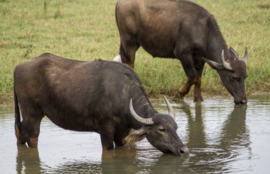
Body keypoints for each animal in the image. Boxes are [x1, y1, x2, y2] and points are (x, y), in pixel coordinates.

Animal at [13, 53, 189, 156]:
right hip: (32, 113)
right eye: (161, 129)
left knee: (20, 132)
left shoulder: (122, 132)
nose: (183, 150)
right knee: (32, 137)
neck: (123, 95)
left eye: (176, 127)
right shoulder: (106, 128)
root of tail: (18, 67)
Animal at [115, 0, 248, 104]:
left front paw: (198, 99)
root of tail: (119, 3)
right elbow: (192, 76)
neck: (203, 31)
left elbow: (198, 79)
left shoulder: (200, 59)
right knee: (129, 64)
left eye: (245, 76)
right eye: (234, 77)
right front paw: (178, 94)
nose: (243, 101)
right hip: (129, 42)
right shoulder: (183, 55)